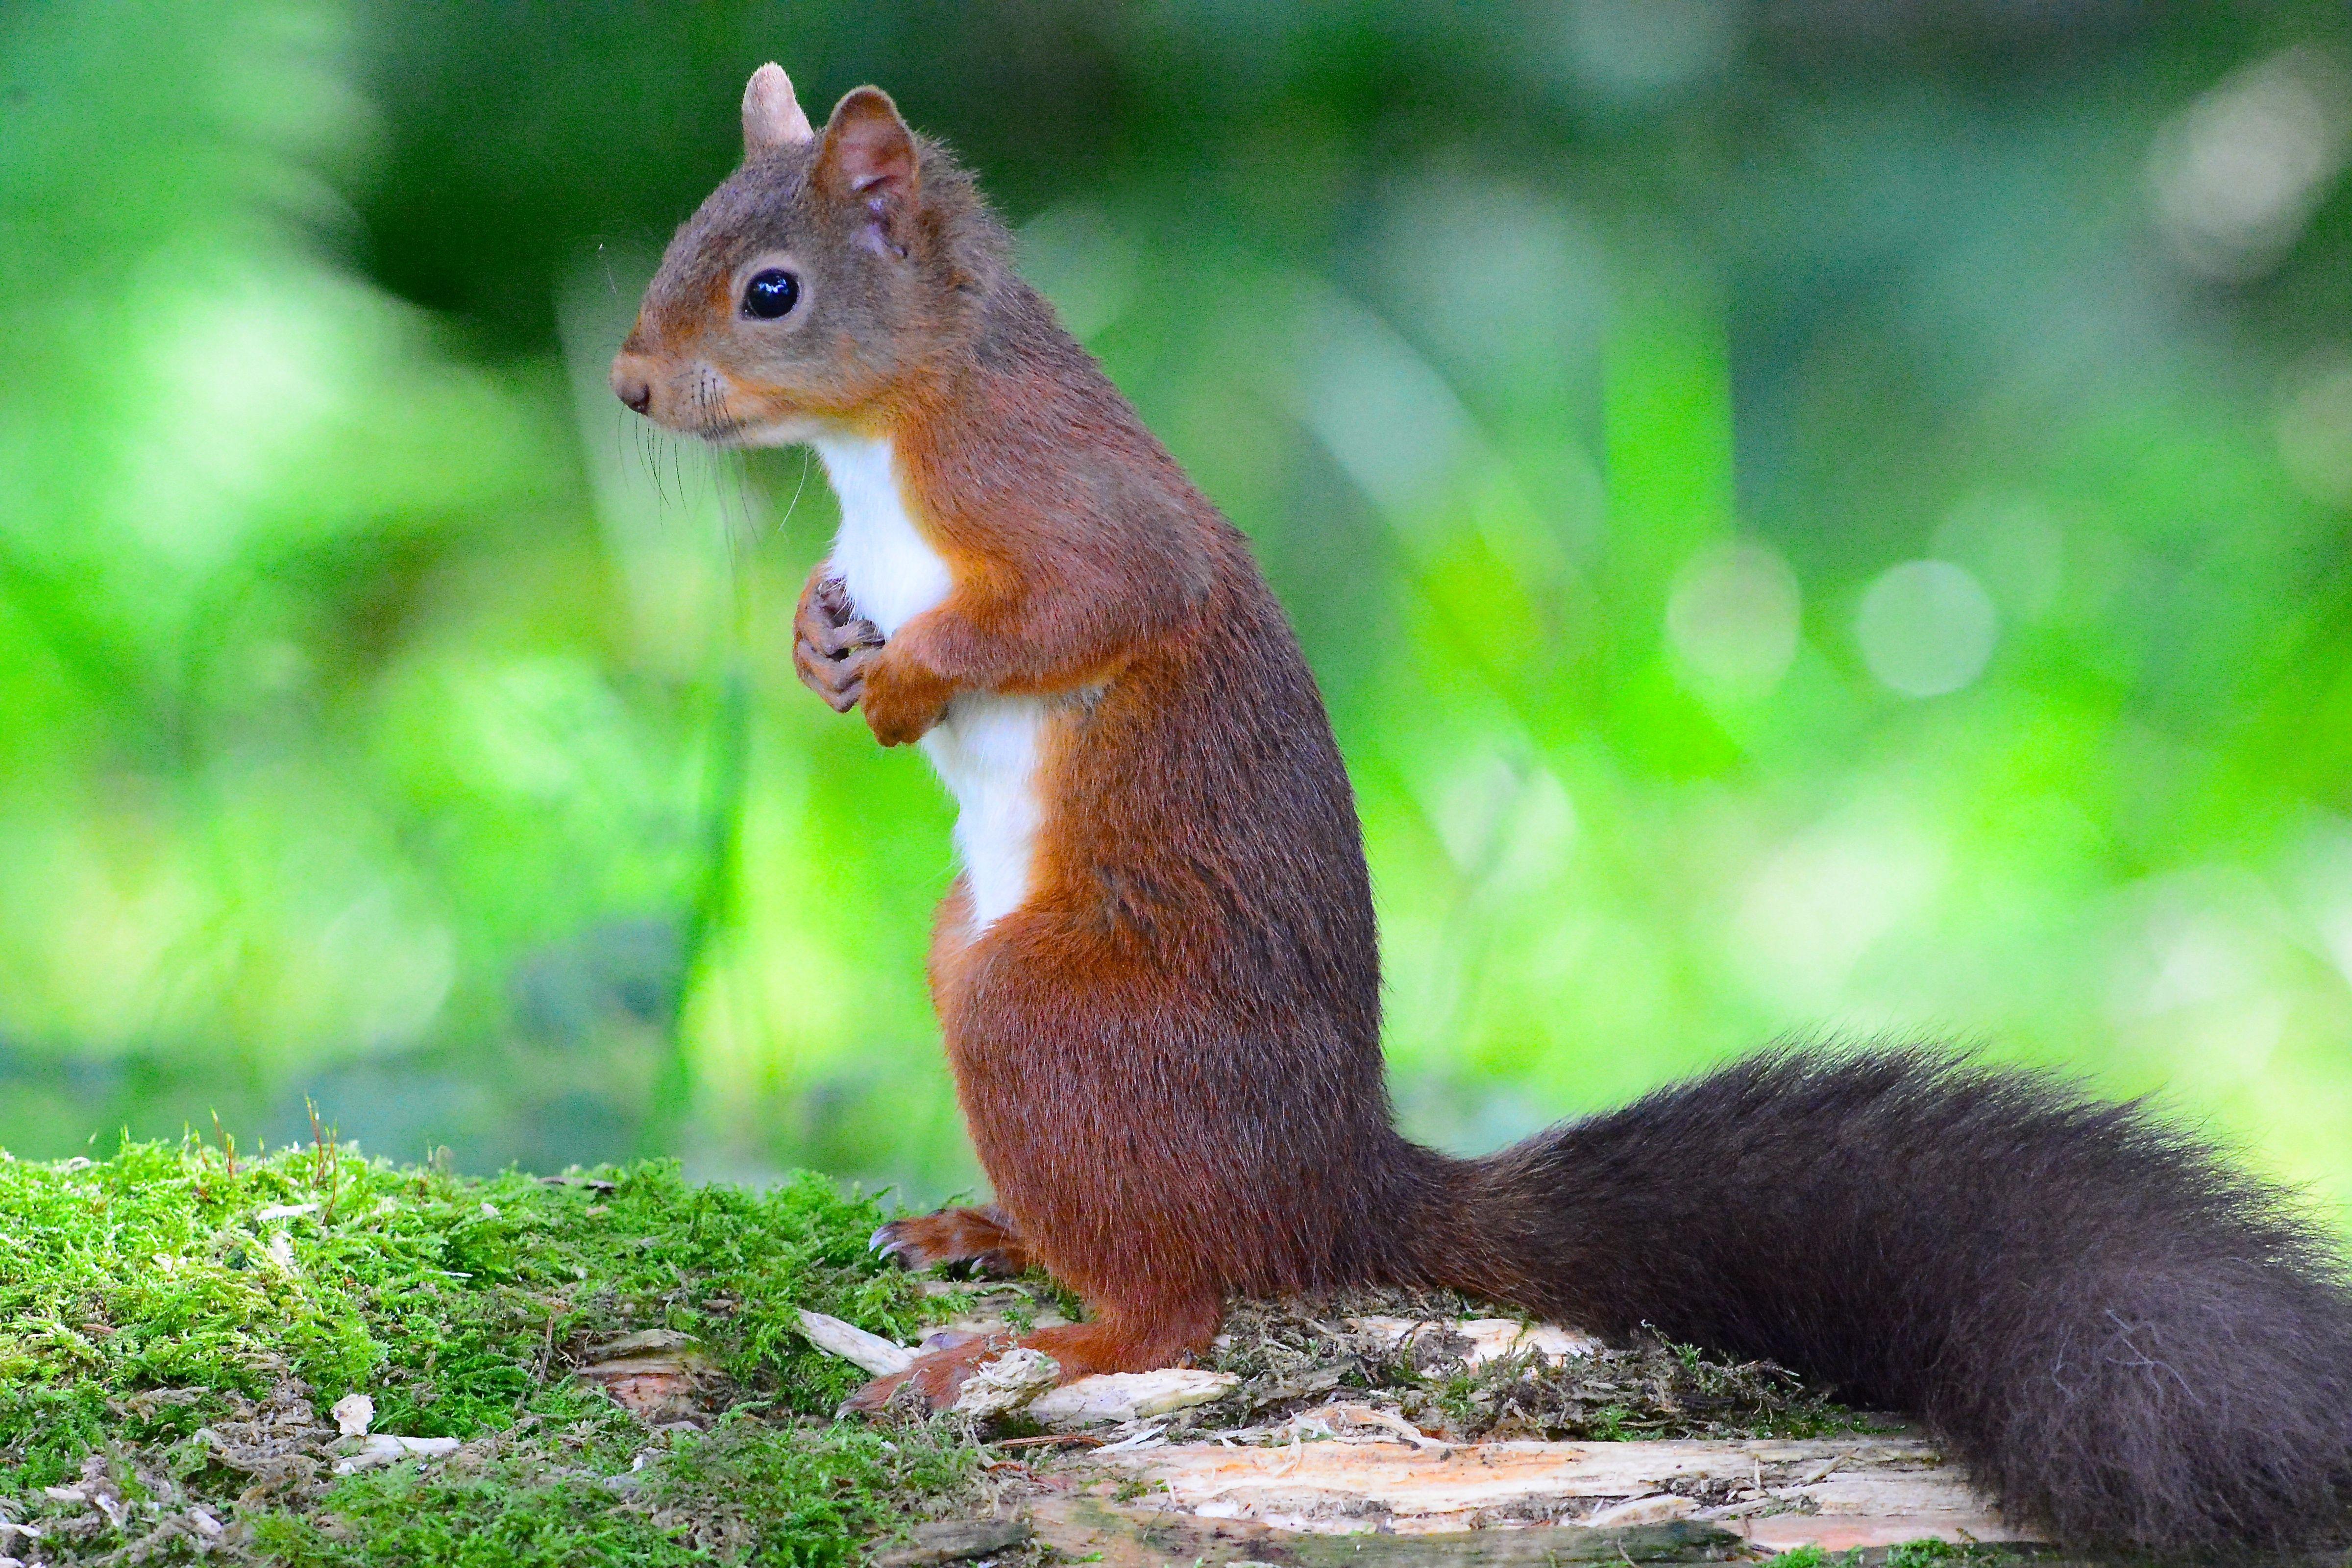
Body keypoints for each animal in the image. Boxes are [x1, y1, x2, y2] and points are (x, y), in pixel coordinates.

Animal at [608, 64, 2352, 1554]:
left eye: (771, 291)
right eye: (687, 234)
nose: (624, 386)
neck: (884, 445)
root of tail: (1336, 1184)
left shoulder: (1065, 503)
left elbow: (1092, 605)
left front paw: (911, 680)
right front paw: (820, 642)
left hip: (1045, 1012)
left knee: (1181, 1302)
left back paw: (1023, 1347)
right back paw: (986, 1233)